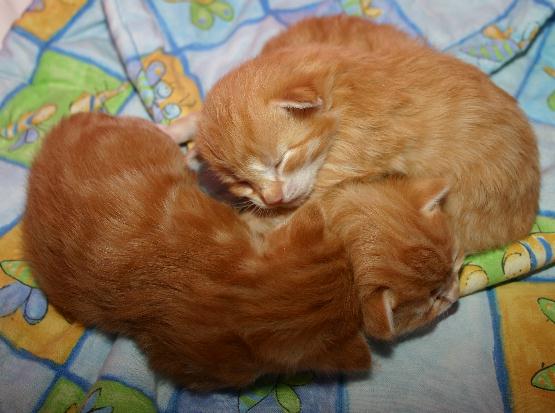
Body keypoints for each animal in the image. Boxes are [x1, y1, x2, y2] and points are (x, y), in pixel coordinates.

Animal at [23, 112, 459, 390]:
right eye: (432, 304)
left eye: (456, 264)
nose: (454, 299)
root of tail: (55, 134)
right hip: (141, 136)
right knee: (160, 128)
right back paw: (189, 142)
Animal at [169, 14, 539, 254]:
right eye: (242, 182)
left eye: (282, 160)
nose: (272, 198)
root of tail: (526, 215)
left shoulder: (338, 174)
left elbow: (287, 214)